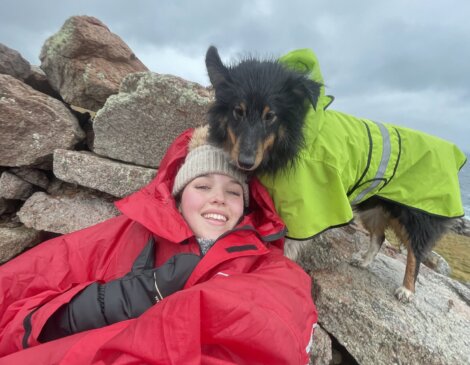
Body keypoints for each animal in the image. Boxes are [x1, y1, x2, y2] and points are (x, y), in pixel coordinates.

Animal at [204, 45, 464, 302]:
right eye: (237, 111)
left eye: (271, 116)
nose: (245, 162)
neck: (288, 144)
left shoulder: (304, 210)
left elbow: (287, 245)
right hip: (373, 208)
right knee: (379, 237)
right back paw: (364, 261)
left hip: (416, 216)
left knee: (415, 251)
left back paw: (407, 289)